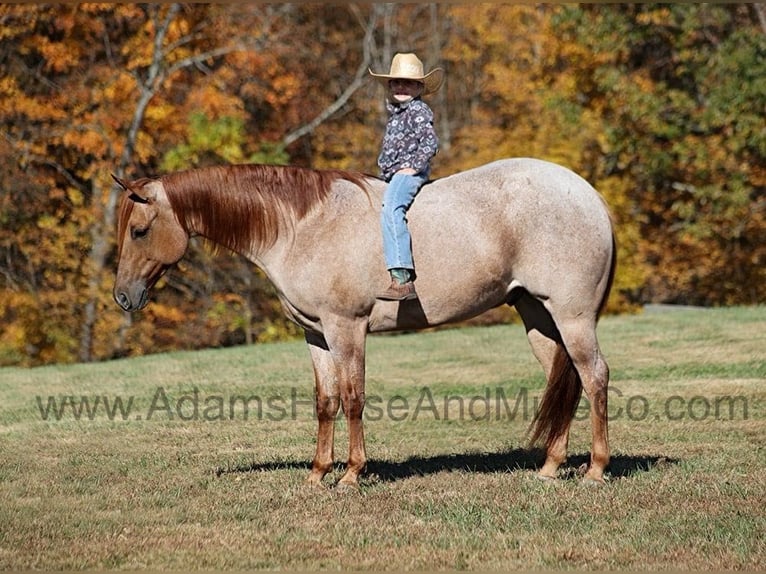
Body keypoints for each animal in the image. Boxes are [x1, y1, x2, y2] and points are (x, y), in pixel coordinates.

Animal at [112, 157, 616, 488]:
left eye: (139, 230)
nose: (123, 296)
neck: (302, 226)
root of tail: (590, 195)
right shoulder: (315, 334)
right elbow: (326, 401)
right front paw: (317, 473)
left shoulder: (346, 328)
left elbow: (353, 398)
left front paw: (352, 474)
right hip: (537, 316)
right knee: (564, 378)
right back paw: (550, 467)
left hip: (572, 316)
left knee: (594, 376)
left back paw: (595, 469)